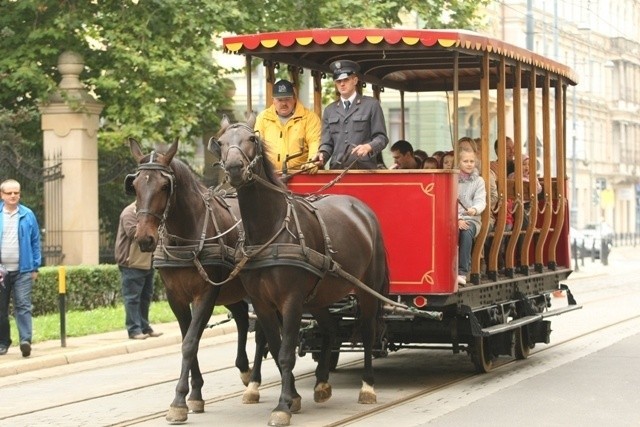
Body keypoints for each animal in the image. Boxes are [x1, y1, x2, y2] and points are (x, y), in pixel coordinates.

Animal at [129, 140, 272, 424]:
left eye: (164, 186)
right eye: (136, 185)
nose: (145, 239)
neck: (186, 234)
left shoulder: (205, 294)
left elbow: (190, 342)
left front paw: (178, 401)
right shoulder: (176, 297)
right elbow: (188, 339)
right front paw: (194, 394)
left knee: (261, 330)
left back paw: (254, 382)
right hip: (230, 290)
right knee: (242, 317)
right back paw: (244, 367)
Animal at [210, 117, 390, 427]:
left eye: (251, 139)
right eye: (221, 142)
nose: (234, 168)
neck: (270, 229)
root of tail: (362, 210)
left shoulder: (291, 301)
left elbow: (285, 354)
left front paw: (283, 404)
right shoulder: (262, 304)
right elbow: (273, 344)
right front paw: (292, 396)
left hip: (367, 288)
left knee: (368, 331)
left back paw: (367, 386)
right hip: (319, 297)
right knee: (330, 330)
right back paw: (322, 383)